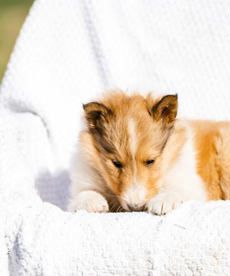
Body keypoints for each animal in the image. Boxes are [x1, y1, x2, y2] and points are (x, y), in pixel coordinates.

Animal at [67, 91, 230, 215]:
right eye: (116, 163)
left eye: (151, 161)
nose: (136, 207)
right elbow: (83, 192)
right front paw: (92, 202)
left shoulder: (192, 184)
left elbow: (177, 189)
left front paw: (163, 201)